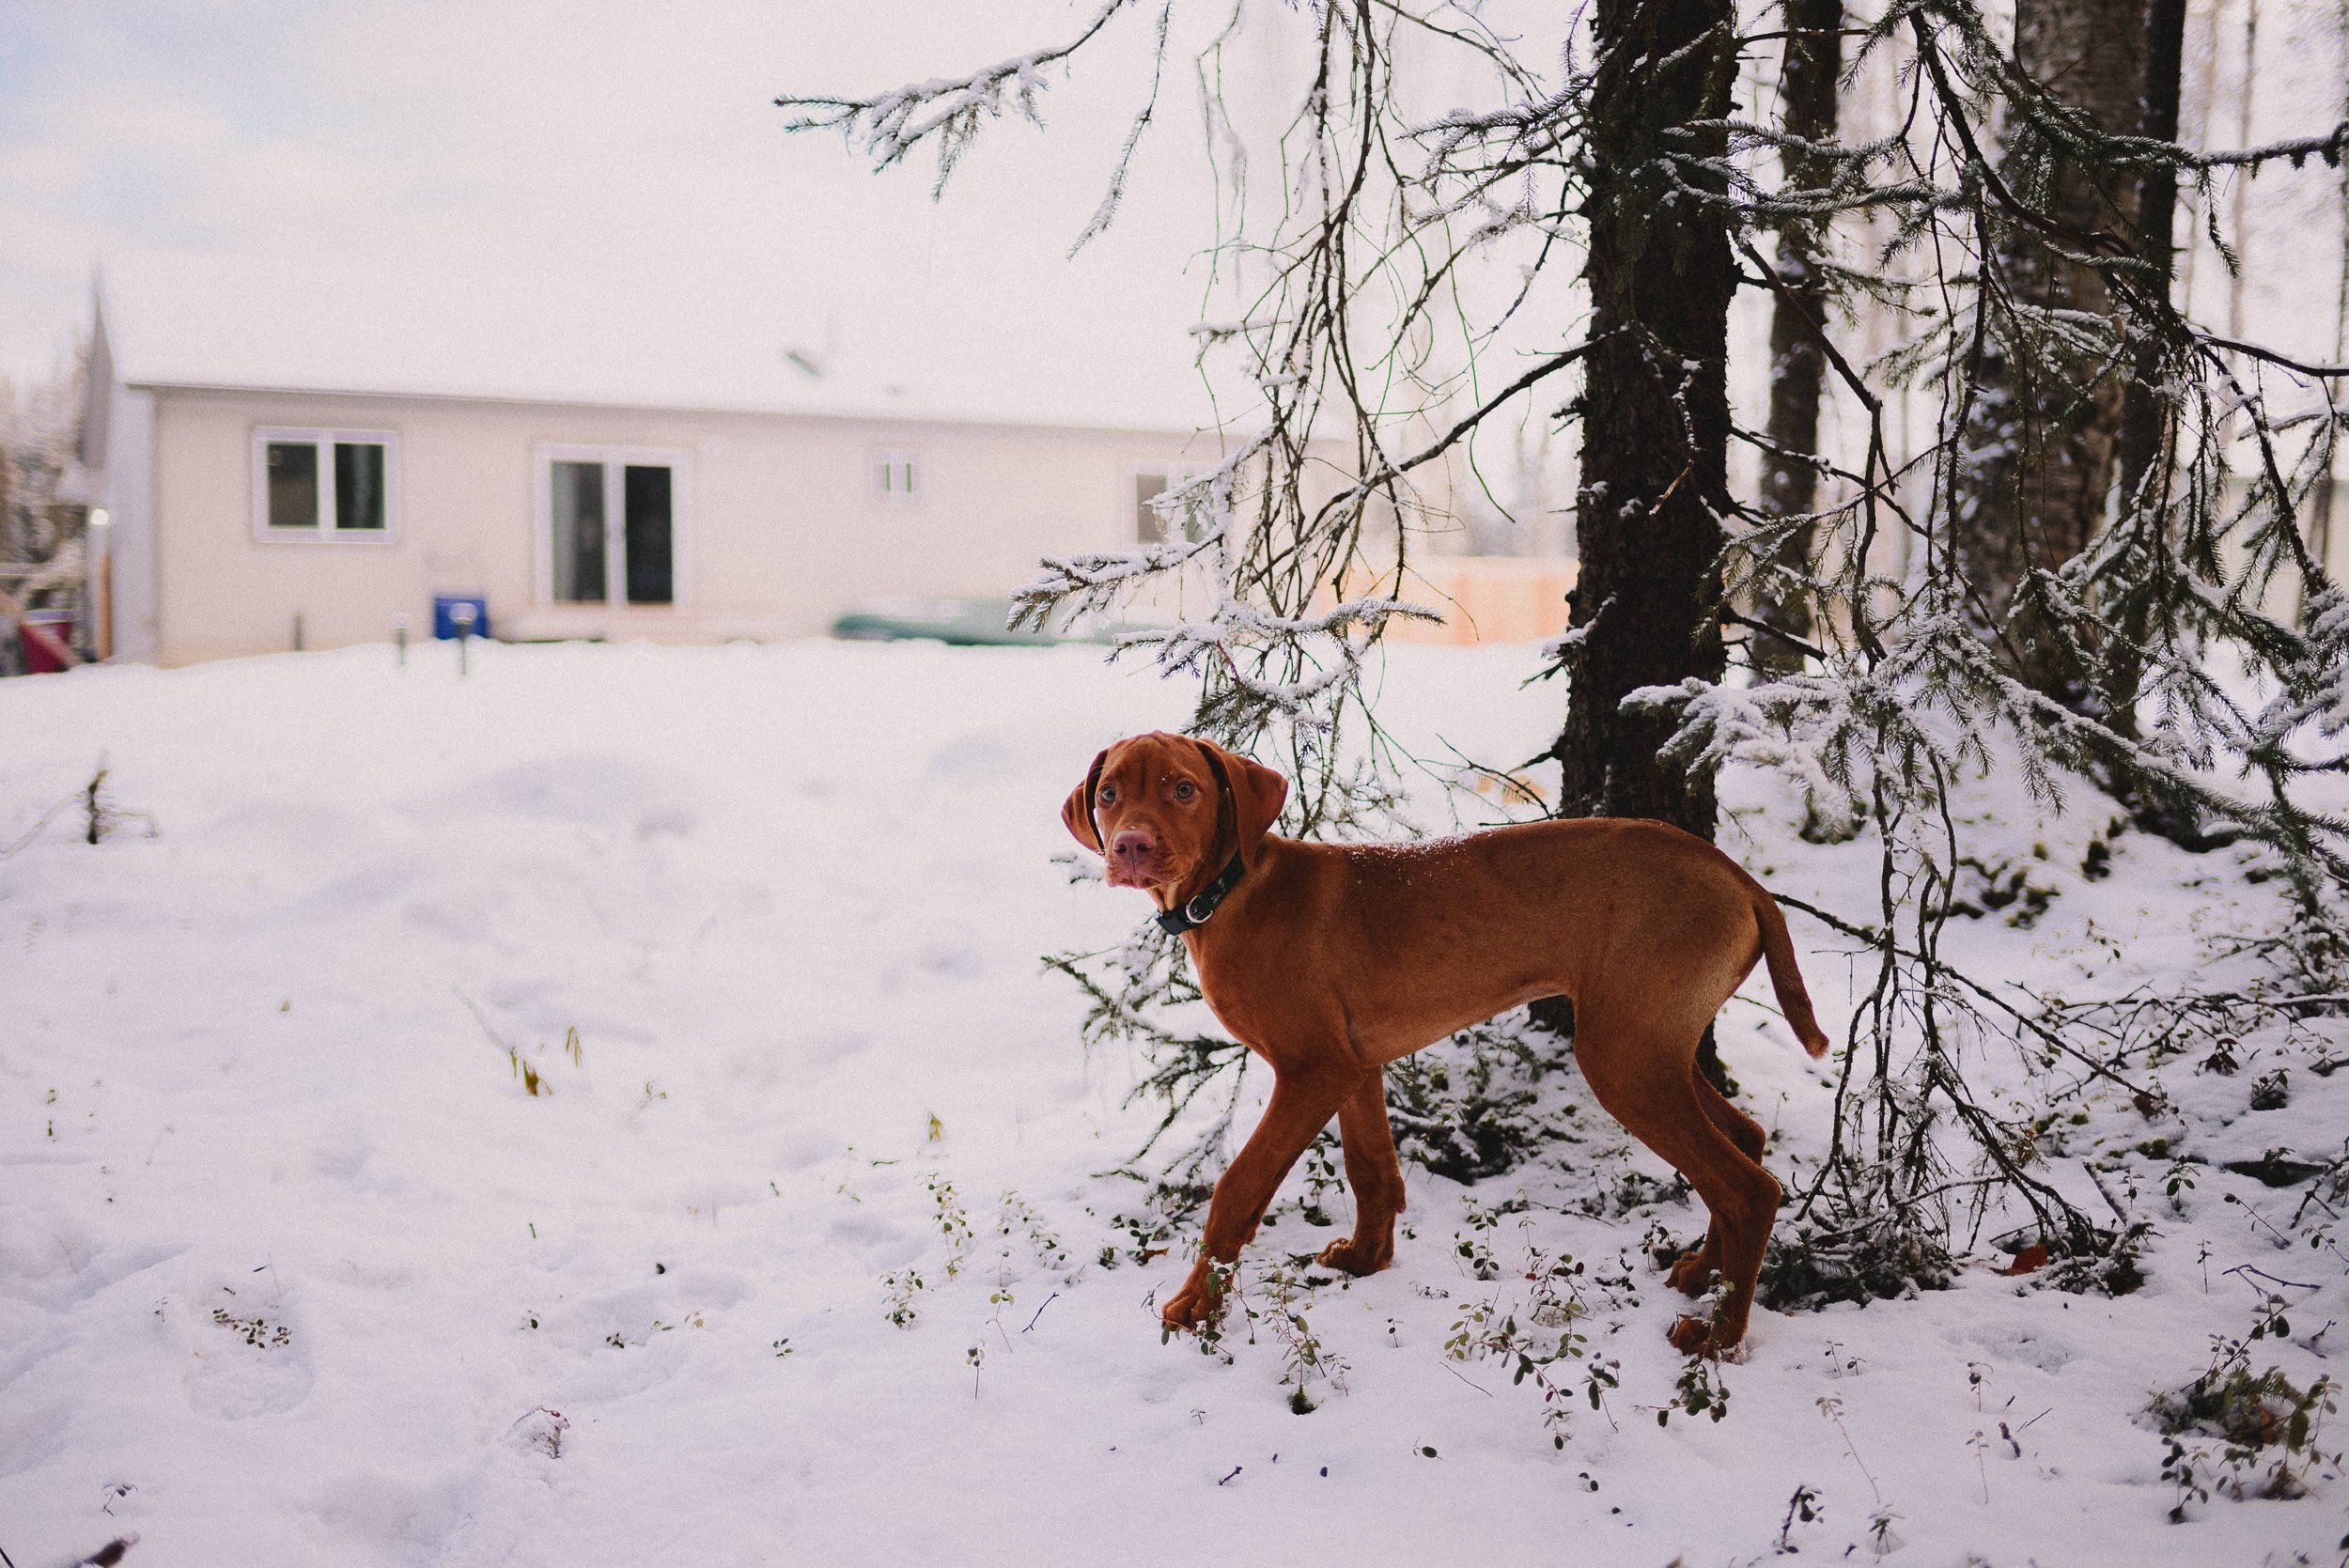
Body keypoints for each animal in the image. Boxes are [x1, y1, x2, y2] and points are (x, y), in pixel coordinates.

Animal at [1066, 727, 1832, 1352]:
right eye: (1108, 795)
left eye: (1184, 789)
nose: (1131, 846)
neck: (1231, 889)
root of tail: (1738, 876)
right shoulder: (1354, 1064)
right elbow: (1373, 1169)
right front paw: (1366, 1259)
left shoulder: (1313, 1069)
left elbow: (1237, 1189)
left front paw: (1196, 1306)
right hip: (1649, 1039)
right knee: (1746, 1137)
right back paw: (1702, 1272)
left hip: (1624, 1059)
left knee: (1750, 1189)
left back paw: (1718, 1337)